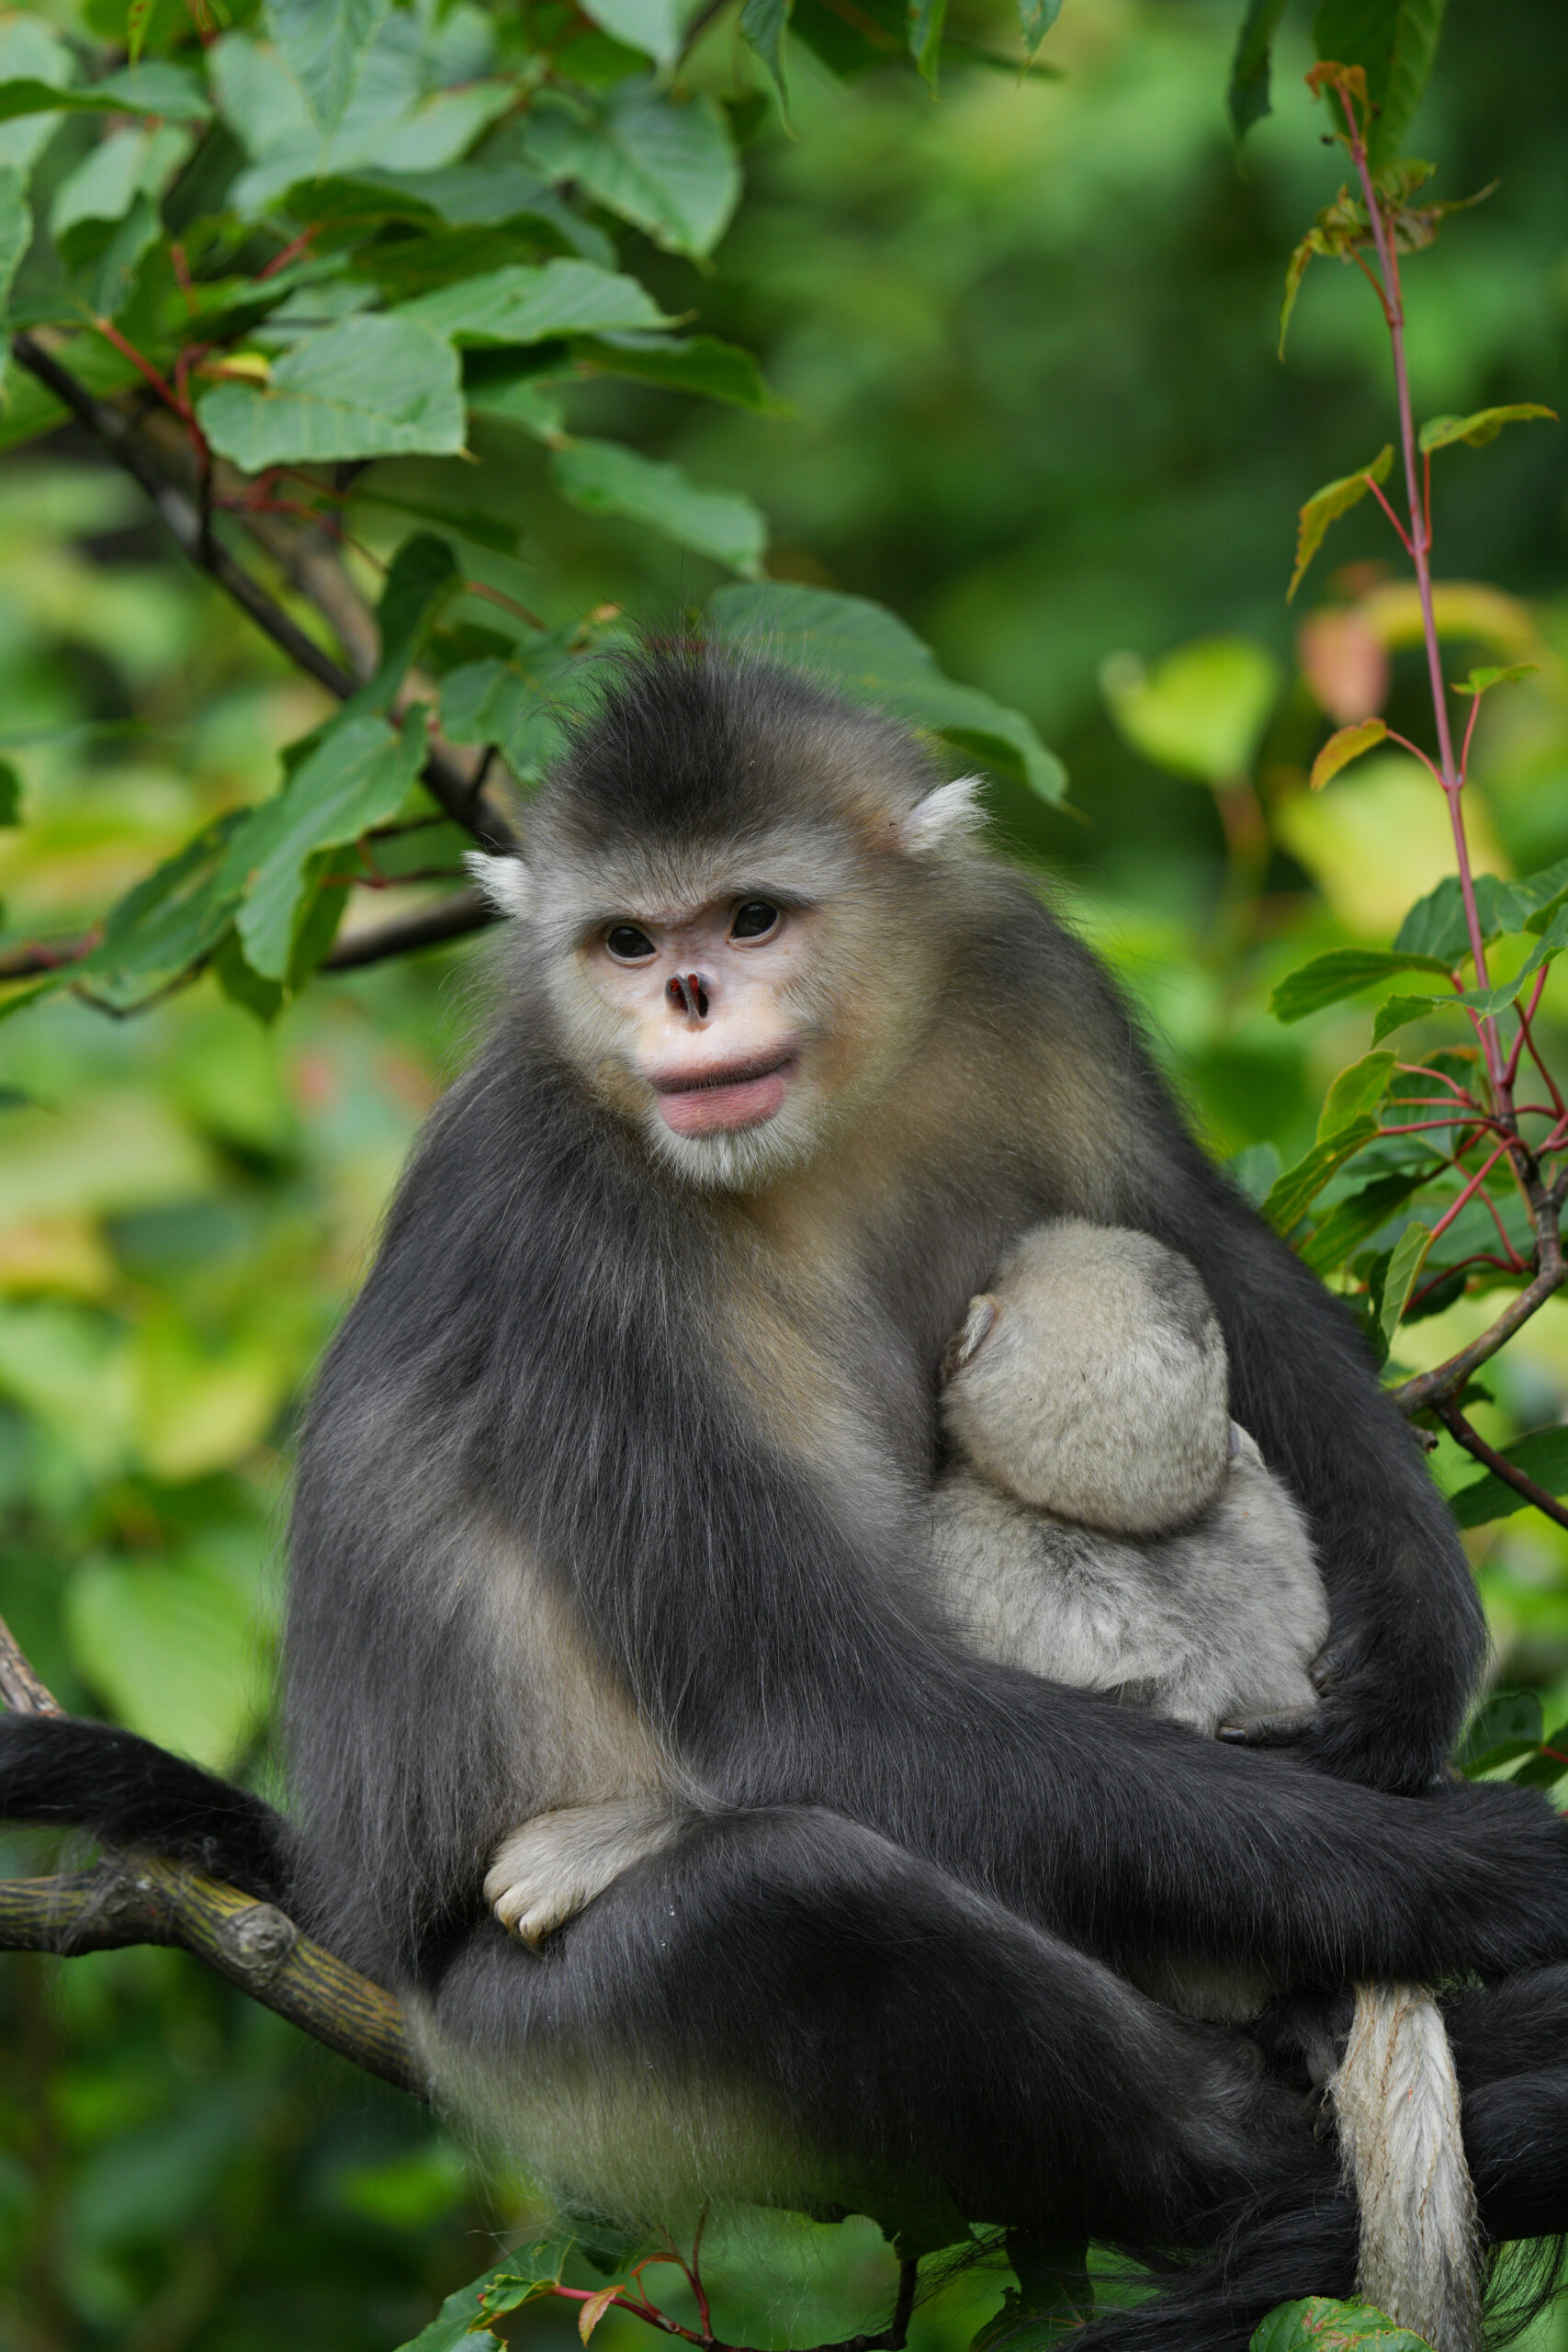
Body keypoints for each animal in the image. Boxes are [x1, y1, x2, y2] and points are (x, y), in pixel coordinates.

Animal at [8, 650, 1568, 2352]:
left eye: (749, 918)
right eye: (628, 941)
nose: (685, 998)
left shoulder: (1023, 978)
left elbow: (1209, 1254)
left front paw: (1409, 1668)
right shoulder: (566, 1221)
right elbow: (819, 1709)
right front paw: (1480, 1876)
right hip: (557, 2061)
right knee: (792, 1897)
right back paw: (1273, 2161)